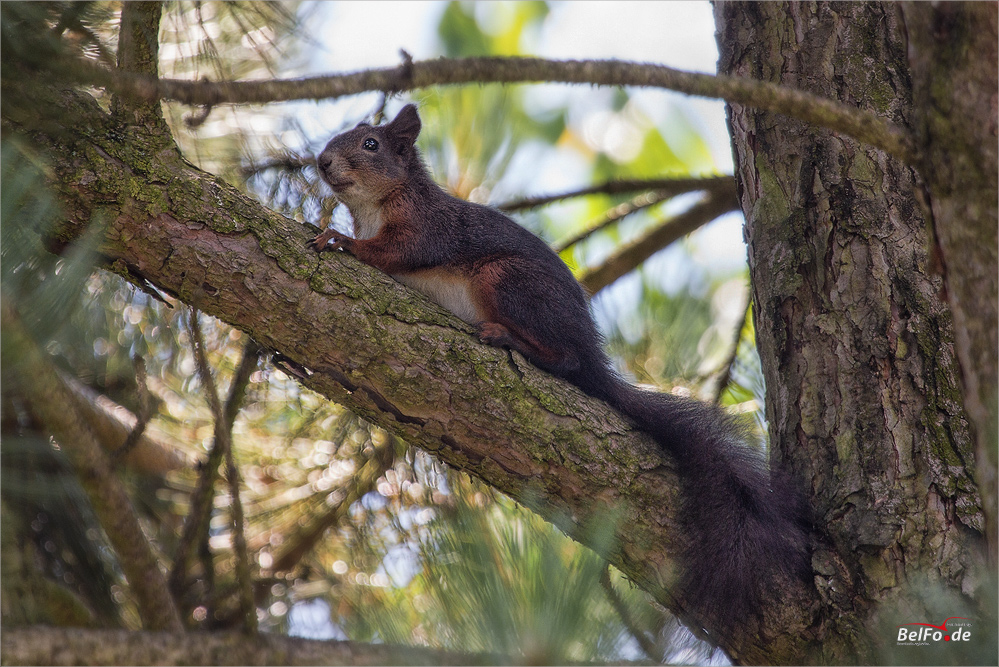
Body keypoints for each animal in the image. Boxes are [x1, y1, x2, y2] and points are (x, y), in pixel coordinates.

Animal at [310, 104, 812, 632]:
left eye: (370, 144)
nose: (322, 162)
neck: (377, 204)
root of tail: (591, 351)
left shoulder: (424, 229)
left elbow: (393, 253)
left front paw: (339, 239)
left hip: (506, 280)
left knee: (565, 360)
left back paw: (509, 338)